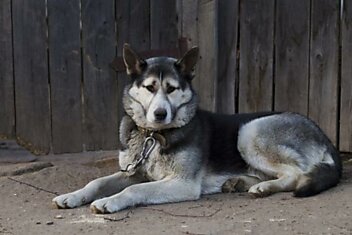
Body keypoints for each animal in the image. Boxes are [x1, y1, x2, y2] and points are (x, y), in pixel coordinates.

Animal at [52, 44, 340, 215]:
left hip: (249, 132)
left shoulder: (181, 184)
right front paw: (72, 196)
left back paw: (263, 188)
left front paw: (109, 201)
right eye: (149, 87)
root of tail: (326, 138)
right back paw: (240, 182)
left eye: (171, 88)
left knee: (296, 173)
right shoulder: (133, 172)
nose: (160, 114)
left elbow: (135, 190)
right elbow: (96, 182)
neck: (153, 136)